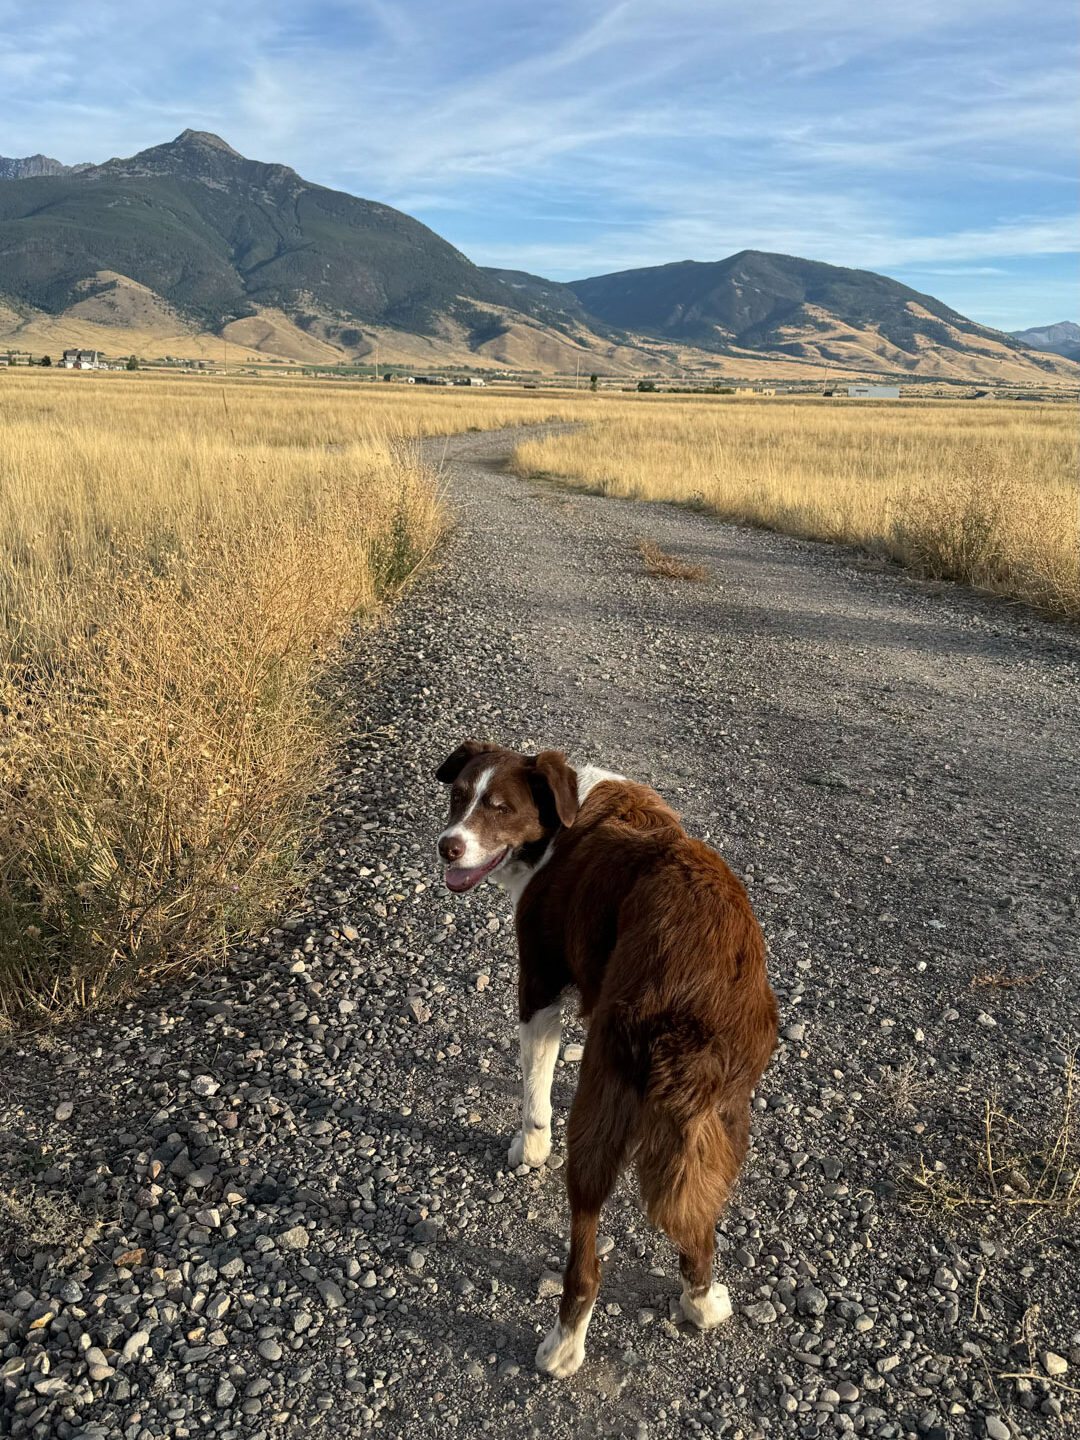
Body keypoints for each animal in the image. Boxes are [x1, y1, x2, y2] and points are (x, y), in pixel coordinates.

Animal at [432, 748, 777, 1376]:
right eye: (458, 797)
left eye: (499, 807)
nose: (447, 845)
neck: (566, 814)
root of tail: (689, 1011)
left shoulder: (539, 985)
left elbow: (535, 1093)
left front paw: (529, 1149)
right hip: (722, 1121)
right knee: (697, 1219)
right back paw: (703, 1302)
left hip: (601, 1101)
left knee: (586, 1256)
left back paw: (562, 1346)